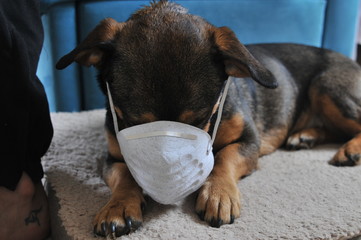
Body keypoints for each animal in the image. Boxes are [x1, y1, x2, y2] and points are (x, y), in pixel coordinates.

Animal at [54, 0, 358, 238]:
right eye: (133, 122)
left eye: (202, 119)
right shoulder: (111, 157)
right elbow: (125, 173)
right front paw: (116, 208)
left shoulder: (250, 141)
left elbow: (224, 157)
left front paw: (218, 194)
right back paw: (305, 136)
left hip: (326, 87)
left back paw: (349, 150)